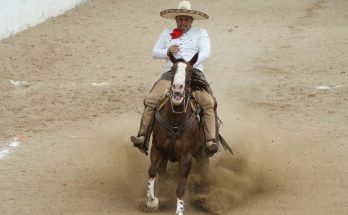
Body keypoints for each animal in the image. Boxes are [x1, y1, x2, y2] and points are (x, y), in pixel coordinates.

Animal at [144, 52, 209, 215]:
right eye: (173, 69)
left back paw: (204, 198)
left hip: (202, 153)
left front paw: (179, 210)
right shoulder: (157, 148)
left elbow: (180, 187)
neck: (175, 122)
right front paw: (152, 201)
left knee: (205, 172)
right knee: (162, 172)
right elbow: (152, 171)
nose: (177, 87)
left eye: (190, 70)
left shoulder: (186, 157)